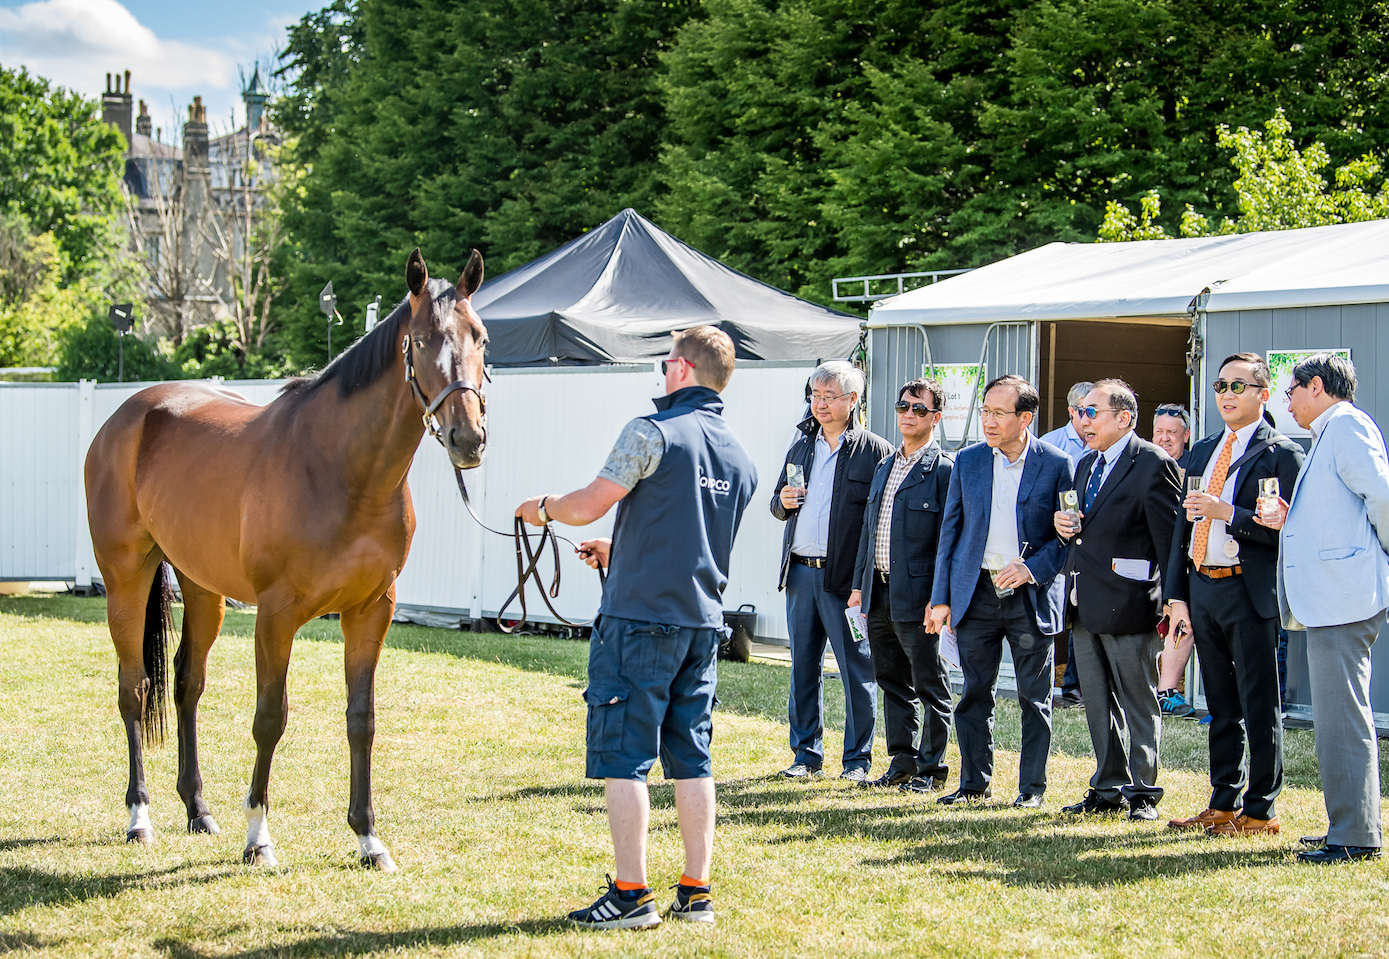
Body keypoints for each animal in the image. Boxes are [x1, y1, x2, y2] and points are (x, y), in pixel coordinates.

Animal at [85, 244, 488, 867]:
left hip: (203, 588)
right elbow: (269, 718)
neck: (340, 470)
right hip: (126, 576)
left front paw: (369, 839)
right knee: (135, 689)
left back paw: (197, 810)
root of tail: (125, 417)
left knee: (186, 685)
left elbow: (361, 720)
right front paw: (259, 837)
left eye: (481, 338)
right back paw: (139, 816)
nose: (469, 438)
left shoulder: (371, 611)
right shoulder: (275, 616)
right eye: (421, 342)